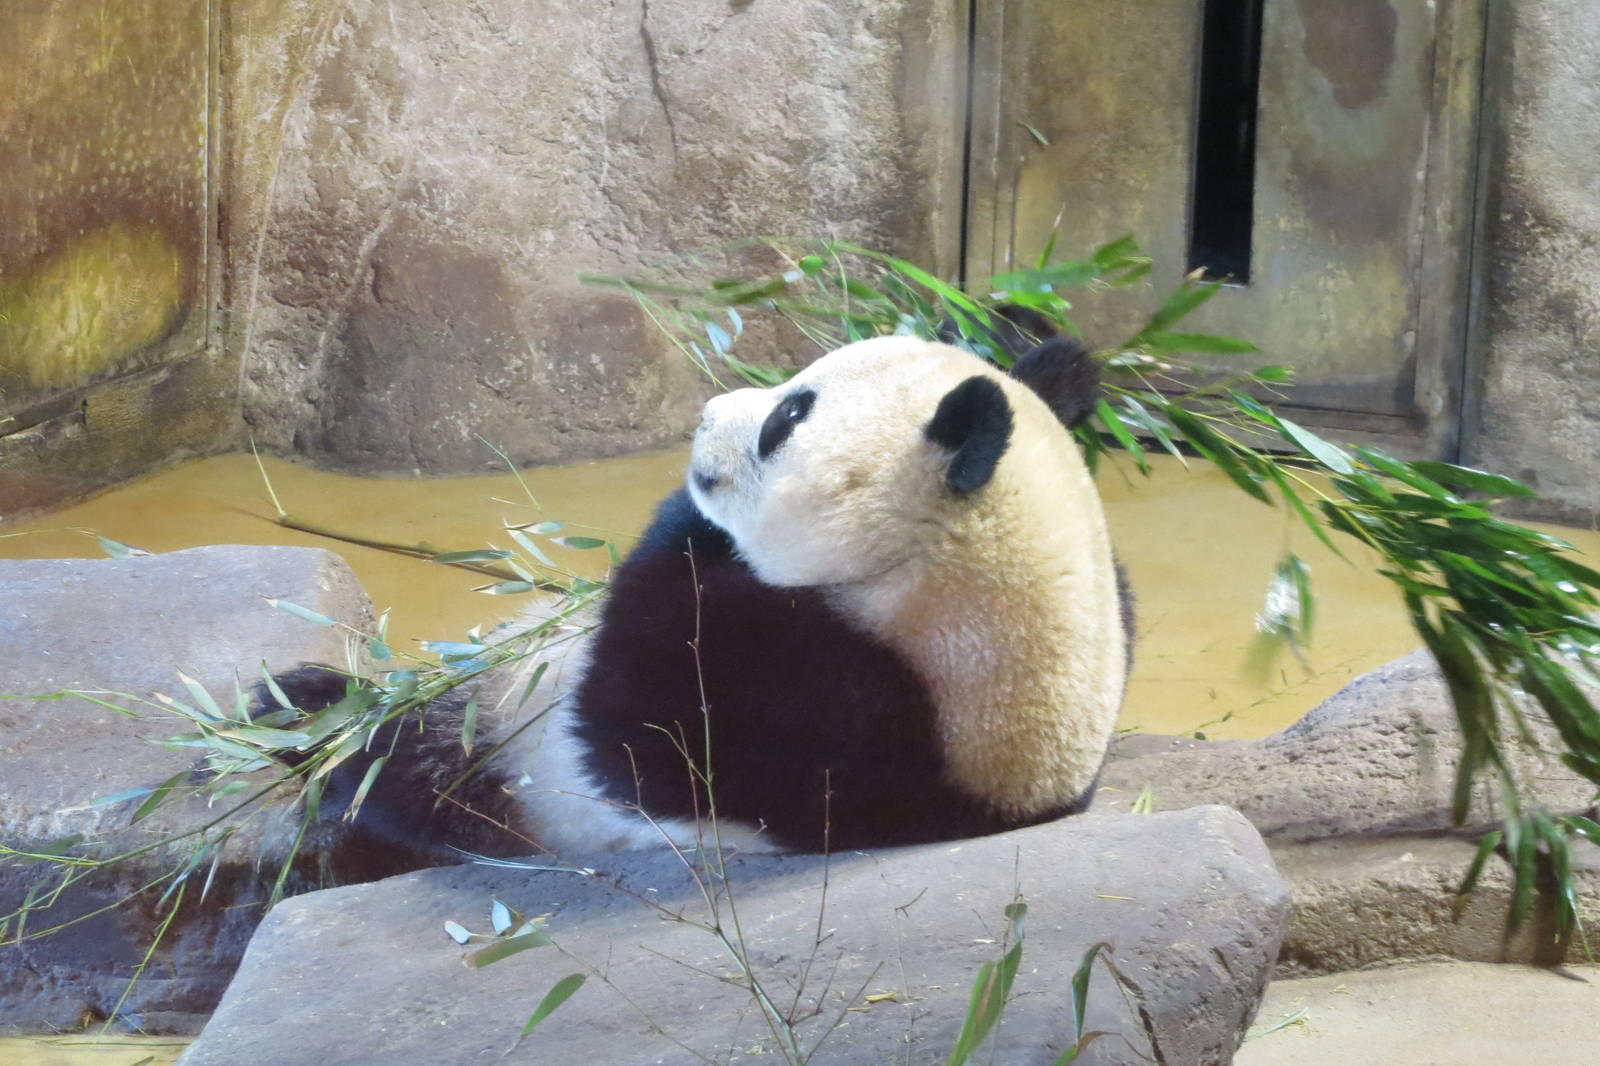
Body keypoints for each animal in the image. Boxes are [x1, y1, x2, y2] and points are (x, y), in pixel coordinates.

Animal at [268, 316, 1131, 861]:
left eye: (788, 416)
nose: (709, 412)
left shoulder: (861, 720)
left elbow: (645, 722)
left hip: (504, 778)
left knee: (407, 760)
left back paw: (304, 720)